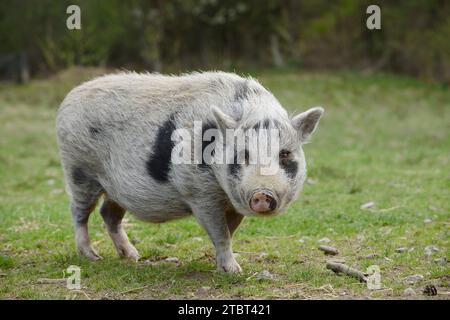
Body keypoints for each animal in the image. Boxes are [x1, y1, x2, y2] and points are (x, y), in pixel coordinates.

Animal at [57, 72, 324, 272]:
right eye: (244, 154)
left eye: (285, 154)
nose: (262, 194)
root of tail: (69, 96)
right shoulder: (199, 194)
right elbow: (220, 232)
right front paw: (234, 271)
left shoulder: (232, 202)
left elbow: (229, 231)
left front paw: (224, 265)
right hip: (79, 169)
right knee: (79, 212)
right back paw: (92, 257)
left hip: (113, 187)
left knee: (108, 214)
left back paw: (132, 256)